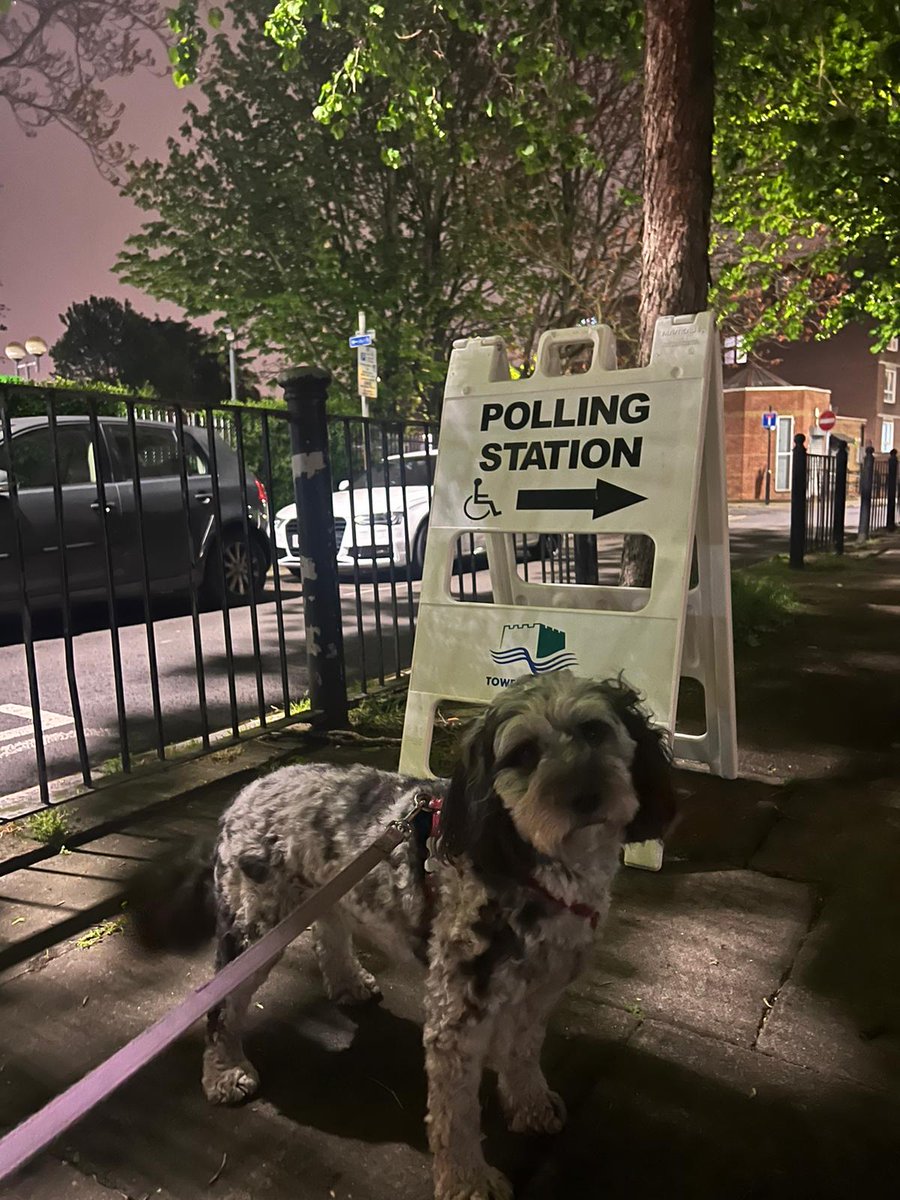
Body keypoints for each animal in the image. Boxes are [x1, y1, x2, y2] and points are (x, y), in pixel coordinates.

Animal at [130, 676, 672, 1200]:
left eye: (594, 730)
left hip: (322, 896)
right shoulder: (457, 1019)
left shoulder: (540, 992)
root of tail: (244, 795)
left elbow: (523, 1055)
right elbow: (457, 1115)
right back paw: (224, 1072)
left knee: (330, 934)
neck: (532, 865)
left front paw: (531, 1106)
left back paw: (348, 983)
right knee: (221, 1003)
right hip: (254, 929)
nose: (586, 797)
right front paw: (468, 1182)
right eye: (522, 753)